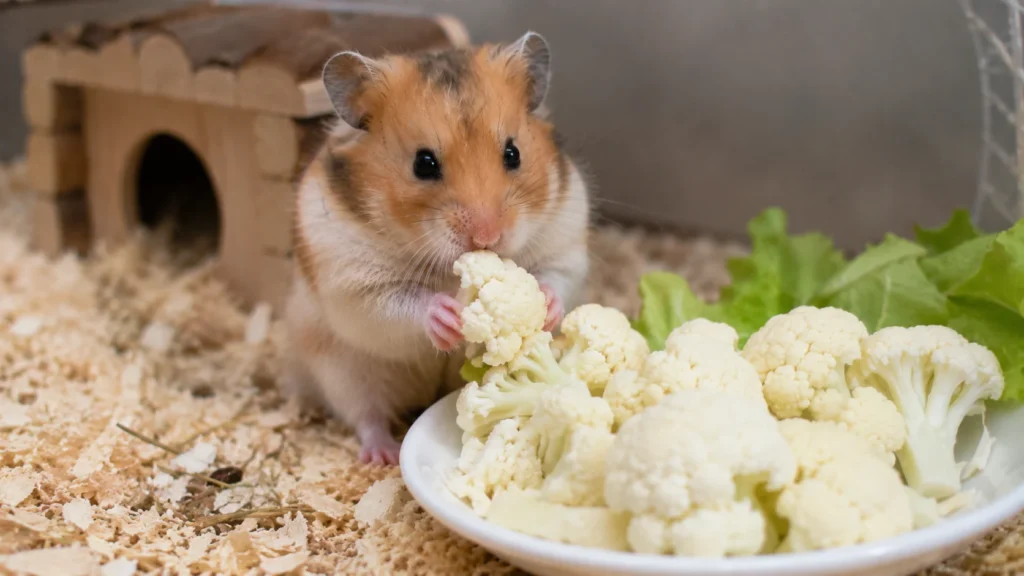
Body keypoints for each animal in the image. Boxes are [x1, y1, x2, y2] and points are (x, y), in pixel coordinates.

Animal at [282, 32, 591, 465]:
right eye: (423, 163)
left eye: (513, 153)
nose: (487, 237)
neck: (449, 268)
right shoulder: (353, 284)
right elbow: (396, 306)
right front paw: (448, 316)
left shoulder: (564, 237)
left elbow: (557, 277)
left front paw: (545, 307)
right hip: (343, 370)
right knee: (366, 415)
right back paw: (382, 454)